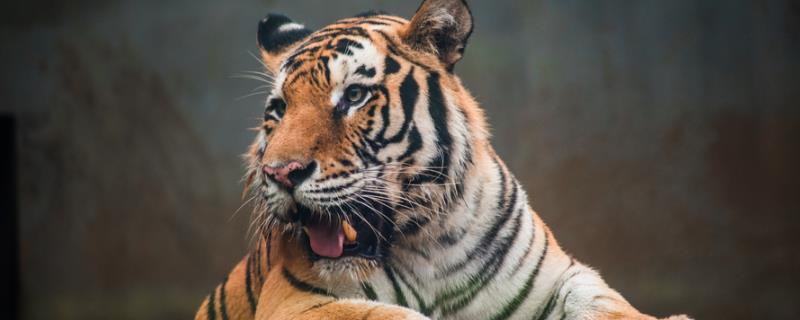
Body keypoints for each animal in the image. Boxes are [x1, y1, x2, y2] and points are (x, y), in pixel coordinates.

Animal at [197, 1, 692, 318]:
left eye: (353, 96)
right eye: (278, 110)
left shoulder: (561, 276)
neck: (428, 242)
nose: (280, 173)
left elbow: (608, 304)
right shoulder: (300, 298)